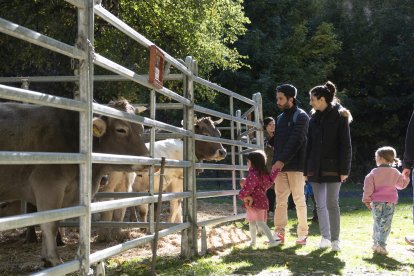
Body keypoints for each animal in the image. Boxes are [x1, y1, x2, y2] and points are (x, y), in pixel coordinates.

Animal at [0, 98, 149, 266]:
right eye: (121, 130)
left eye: (141, 128)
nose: (147, 159)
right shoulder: (47, 185)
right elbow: (50, 223)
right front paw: (54, 259)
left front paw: (46, 259)